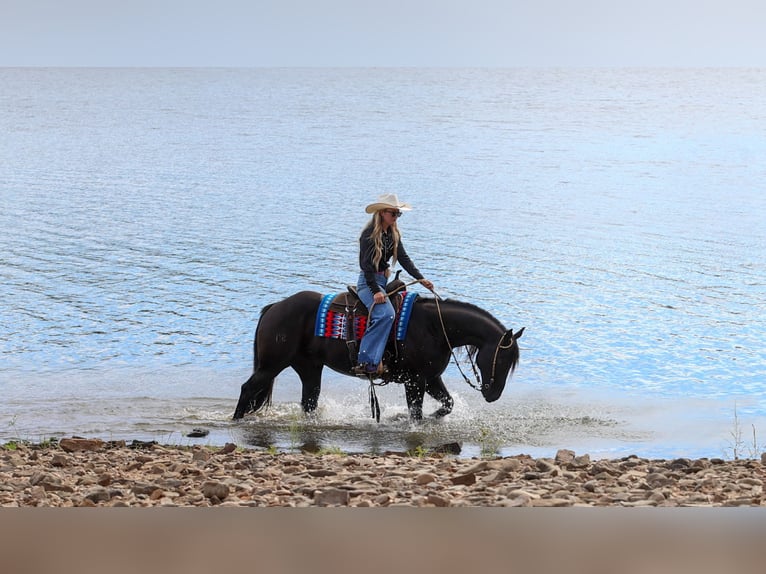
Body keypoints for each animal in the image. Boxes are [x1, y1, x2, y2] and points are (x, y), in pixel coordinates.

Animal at [232, 290, 524, 421]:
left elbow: (447, 403)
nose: (493, 394)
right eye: (502, 359)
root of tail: (275, 307)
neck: (434, 327)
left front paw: (432, 416)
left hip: (309, 368)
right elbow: (416, 412)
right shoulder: (415, 380)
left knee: (309, 402)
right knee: (247, 389)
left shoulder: (431, 379)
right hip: (272, 365)